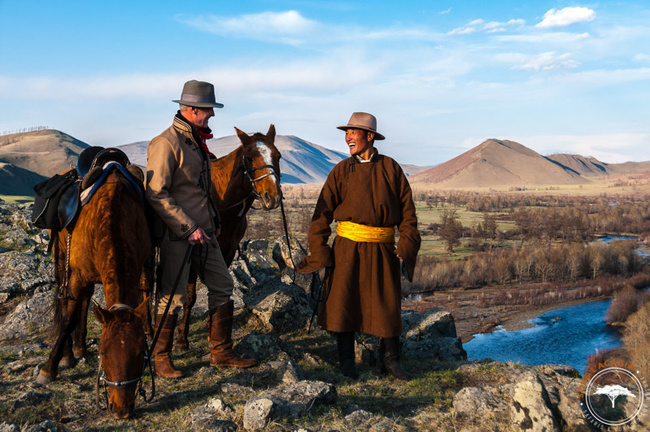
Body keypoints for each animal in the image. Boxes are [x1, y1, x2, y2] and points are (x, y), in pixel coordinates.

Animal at [35, 165, 152, 418]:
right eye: (104, 353)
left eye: (140, 354)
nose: (121, 410)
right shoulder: (77, 274)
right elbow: (67, 319)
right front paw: (48, 369)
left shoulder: (142, 263)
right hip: (62, 260)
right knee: (67, 303)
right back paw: (69, 354)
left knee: (85, 300)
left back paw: (79, 347)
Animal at [175, 123, 280, 350]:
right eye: (249, 158)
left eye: (278, 156)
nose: (272, 197)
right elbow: (190, 296)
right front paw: (181, 339)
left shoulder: (228, 251)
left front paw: (212, 332)